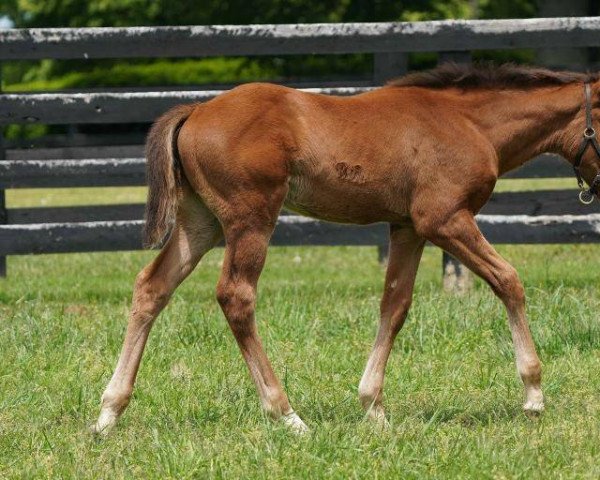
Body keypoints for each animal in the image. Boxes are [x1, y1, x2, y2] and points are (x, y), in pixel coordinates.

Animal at [92, 63, 600, 436]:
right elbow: (508, 280)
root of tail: (195, 110)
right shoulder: (444, 220)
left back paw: (108, 413)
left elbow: (395, 305)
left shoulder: (408, 228)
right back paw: (287, 415)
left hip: (200, 223)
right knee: (235, 296)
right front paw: (533, 394)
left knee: (151, 287)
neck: (469, 123)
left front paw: (373, 406)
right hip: (250, 218)